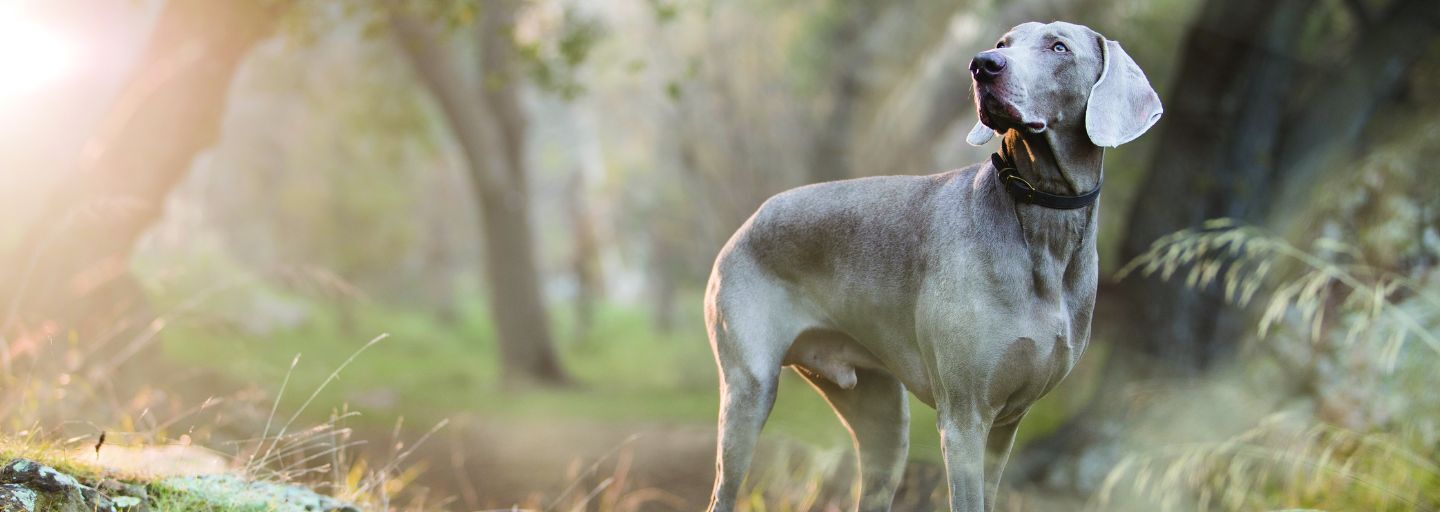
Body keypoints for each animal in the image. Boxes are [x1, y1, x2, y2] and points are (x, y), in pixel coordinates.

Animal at [702, 21, 1163, 512]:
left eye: (1059, 47)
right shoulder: (964, 420)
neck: (1041, 221)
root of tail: (746, 224)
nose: (983, 64)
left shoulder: (1007, 424)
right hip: (749, 391)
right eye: (1003, 44)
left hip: (883, 417)